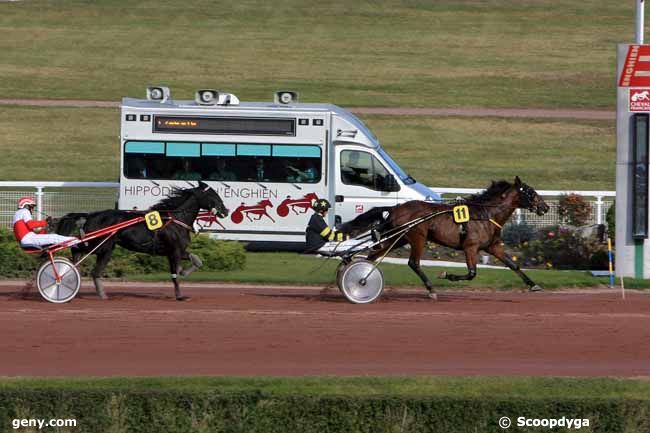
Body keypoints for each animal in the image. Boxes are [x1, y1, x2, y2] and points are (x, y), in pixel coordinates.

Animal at [55, 181, 229, 298]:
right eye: (213, 195)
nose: (226, 210)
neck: (175, 219)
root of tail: (91, 215)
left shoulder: (176, 251)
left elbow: (196, 260)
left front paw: (184, 271)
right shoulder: (174, 251)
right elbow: (174, 275)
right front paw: (179, 295)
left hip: (104, 248)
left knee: (88, 263)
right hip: (102, 246)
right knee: (81, 253)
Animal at [342, 177, 548, 298]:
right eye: (531, 192)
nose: (545, 207)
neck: (486, 214)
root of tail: (395, 208)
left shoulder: (493, 246)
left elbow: (514, 265)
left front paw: (533, 285)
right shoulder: (470, 247)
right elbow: (472, 273)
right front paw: (446, 274)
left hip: (400, 238)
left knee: (373, 256)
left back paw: (361, 276)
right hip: (418, 236)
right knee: (413, 263)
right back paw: (431, 289)